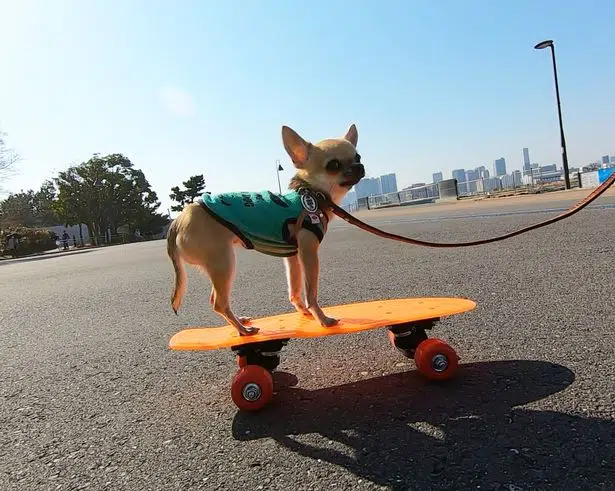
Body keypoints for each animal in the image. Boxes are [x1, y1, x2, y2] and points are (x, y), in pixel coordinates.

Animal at [166, 125, 364, 336]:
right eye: (333, 165)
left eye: (358, 156)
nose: (359, 166)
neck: (312, 194)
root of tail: (178, 220)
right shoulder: (309, 254)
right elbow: (311, 293)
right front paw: (322, 318)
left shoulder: (293, 256)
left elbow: (294, 289)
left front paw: (303, 312)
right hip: (223, 263)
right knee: (218, 303)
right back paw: (243, 330)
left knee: (218, 301)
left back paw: (240, 321)